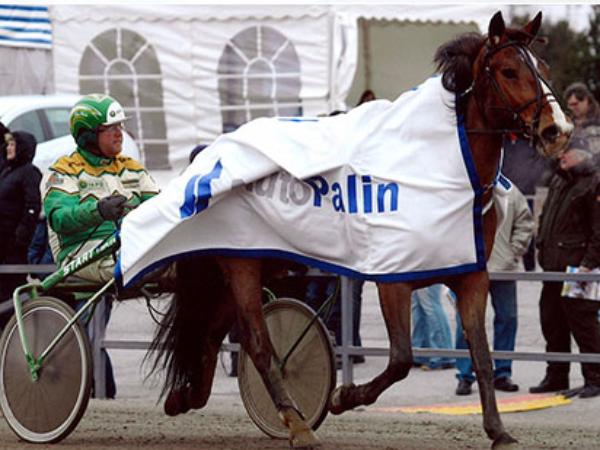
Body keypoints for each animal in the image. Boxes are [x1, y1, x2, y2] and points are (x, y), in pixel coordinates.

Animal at [146, 12, 572, 449]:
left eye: (543, 68)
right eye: (508, 70)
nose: (557, 129)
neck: (440, 167)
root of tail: (213, 150)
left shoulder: (471, 275)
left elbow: (483, 357)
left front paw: (498, 431)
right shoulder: (393, 278)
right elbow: (400, 360)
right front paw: (343, 396)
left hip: (262, 261)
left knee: (212, 329)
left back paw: (188, 396)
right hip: (240, 262)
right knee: (256, 341)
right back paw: (296, 423)